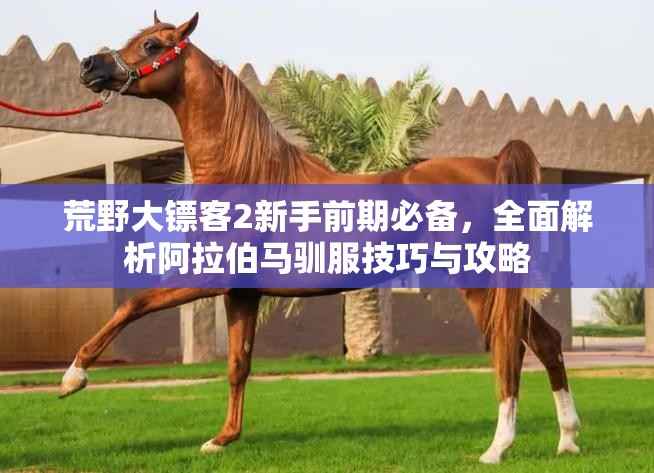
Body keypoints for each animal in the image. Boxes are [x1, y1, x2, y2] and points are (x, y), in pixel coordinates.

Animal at [64, 12, 580, 464]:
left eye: (152, 46)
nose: (89, 66)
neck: (248, 173)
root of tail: (491, 162)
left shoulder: (205, 279)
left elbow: (131, 305)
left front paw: (74, 377)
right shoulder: (241, 293)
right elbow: (237, 365)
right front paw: (222, 439)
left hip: (478, 280)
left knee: (509, 347)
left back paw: (497, 448)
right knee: (546, 341)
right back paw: (567, 441)